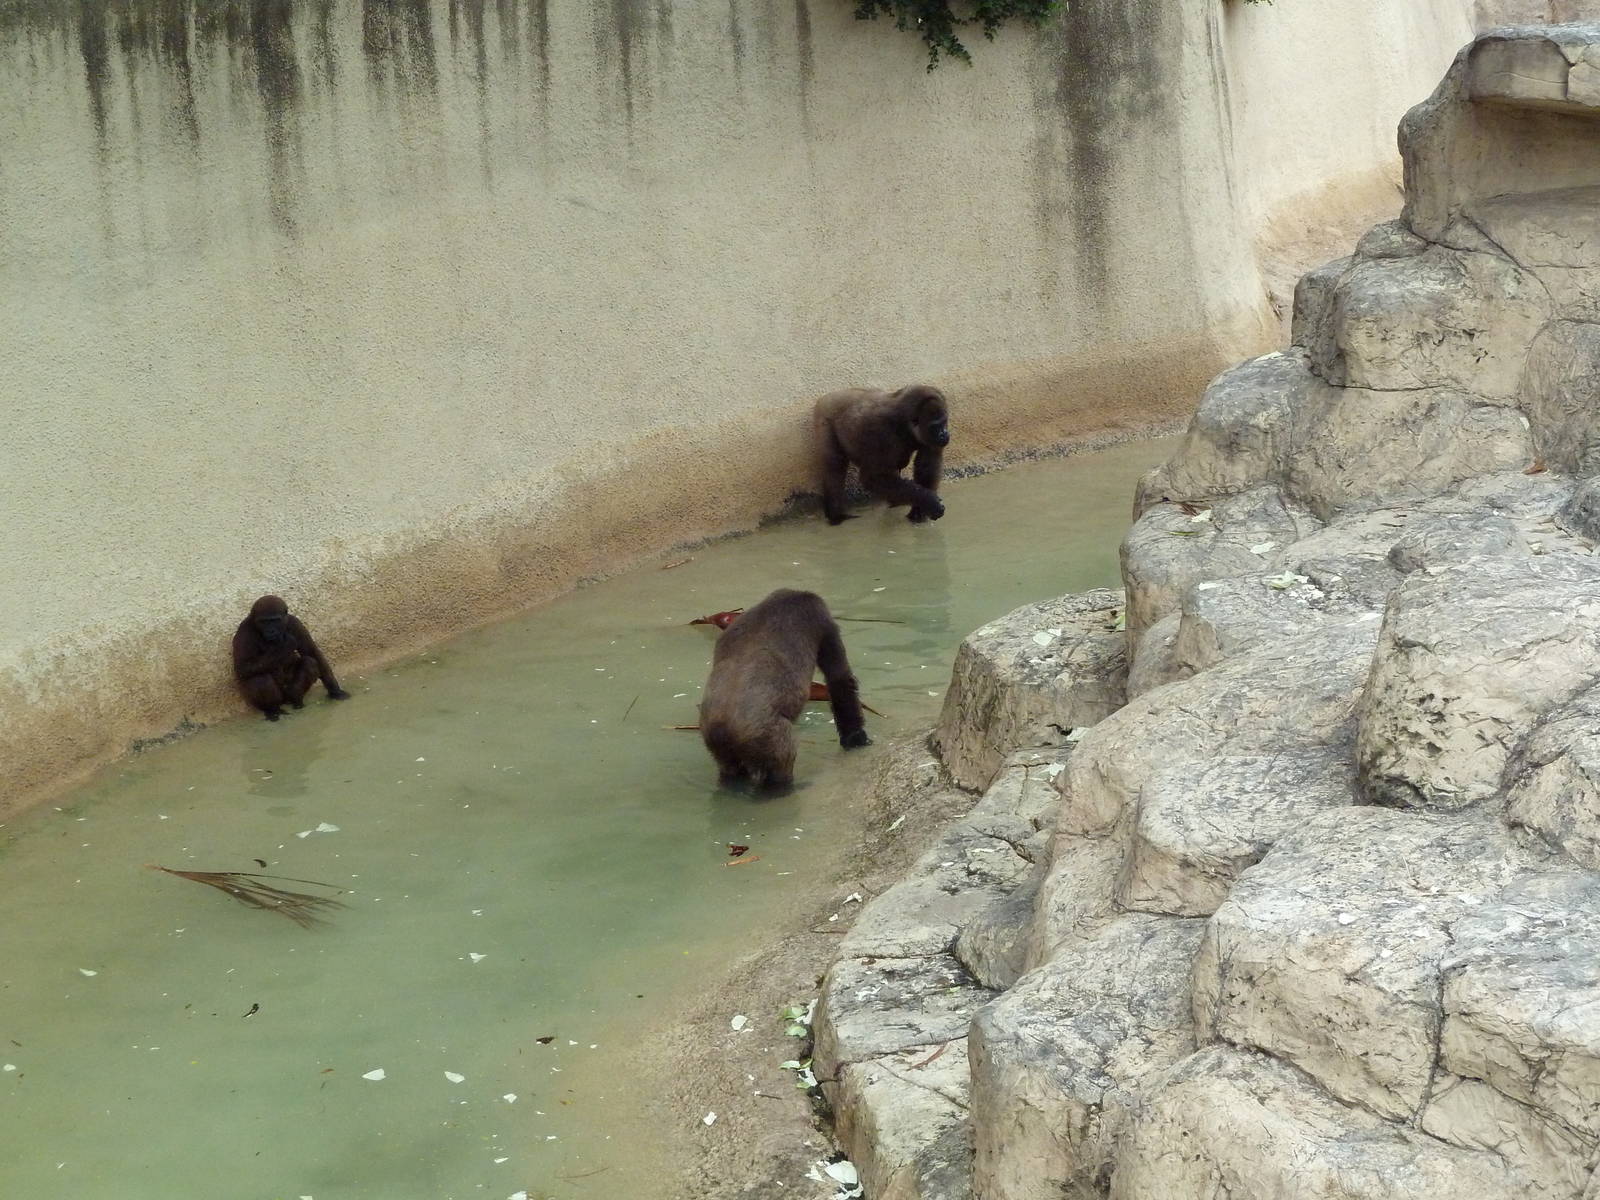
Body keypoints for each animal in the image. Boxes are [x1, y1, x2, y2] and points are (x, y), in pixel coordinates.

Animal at [699, 589, 871, 789]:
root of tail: (723, 727)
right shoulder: (820, 616)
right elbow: (840, 681)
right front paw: (856, 738)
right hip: (766, 739)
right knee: (782, 759)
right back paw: (781, 788)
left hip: (715, 740)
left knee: (729, 768)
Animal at [812, 384, 950, 525]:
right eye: (935, 426)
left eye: (944, 422)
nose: (944, 434)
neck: (905, 422)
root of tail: (831, 395)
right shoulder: (881, 432)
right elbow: (874, 477)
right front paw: (928, 501)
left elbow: (927, 467)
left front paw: (919, 511)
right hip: (824, 415)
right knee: (834, 467)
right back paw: (836, 514)